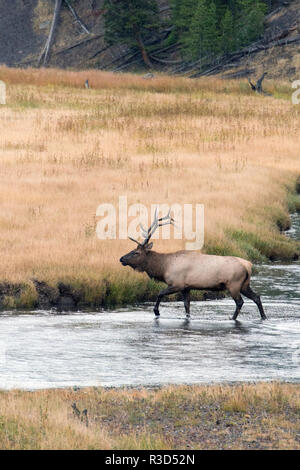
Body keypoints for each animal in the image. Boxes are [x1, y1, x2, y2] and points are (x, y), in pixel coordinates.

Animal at [118, 211, 266, 322]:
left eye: (136, 252)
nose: (121, 259)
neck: (164, 267)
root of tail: (249, 266)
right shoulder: (186, 287)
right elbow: (187, 306)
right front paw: (187, 317)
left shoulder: (177, 283)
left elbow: (160, 293)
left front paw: (157, 312)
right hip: (245, 285)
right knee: (257, 297)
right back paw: (263, 317)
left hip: (234, 284)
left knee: (240, 302)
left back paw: (232, 318)